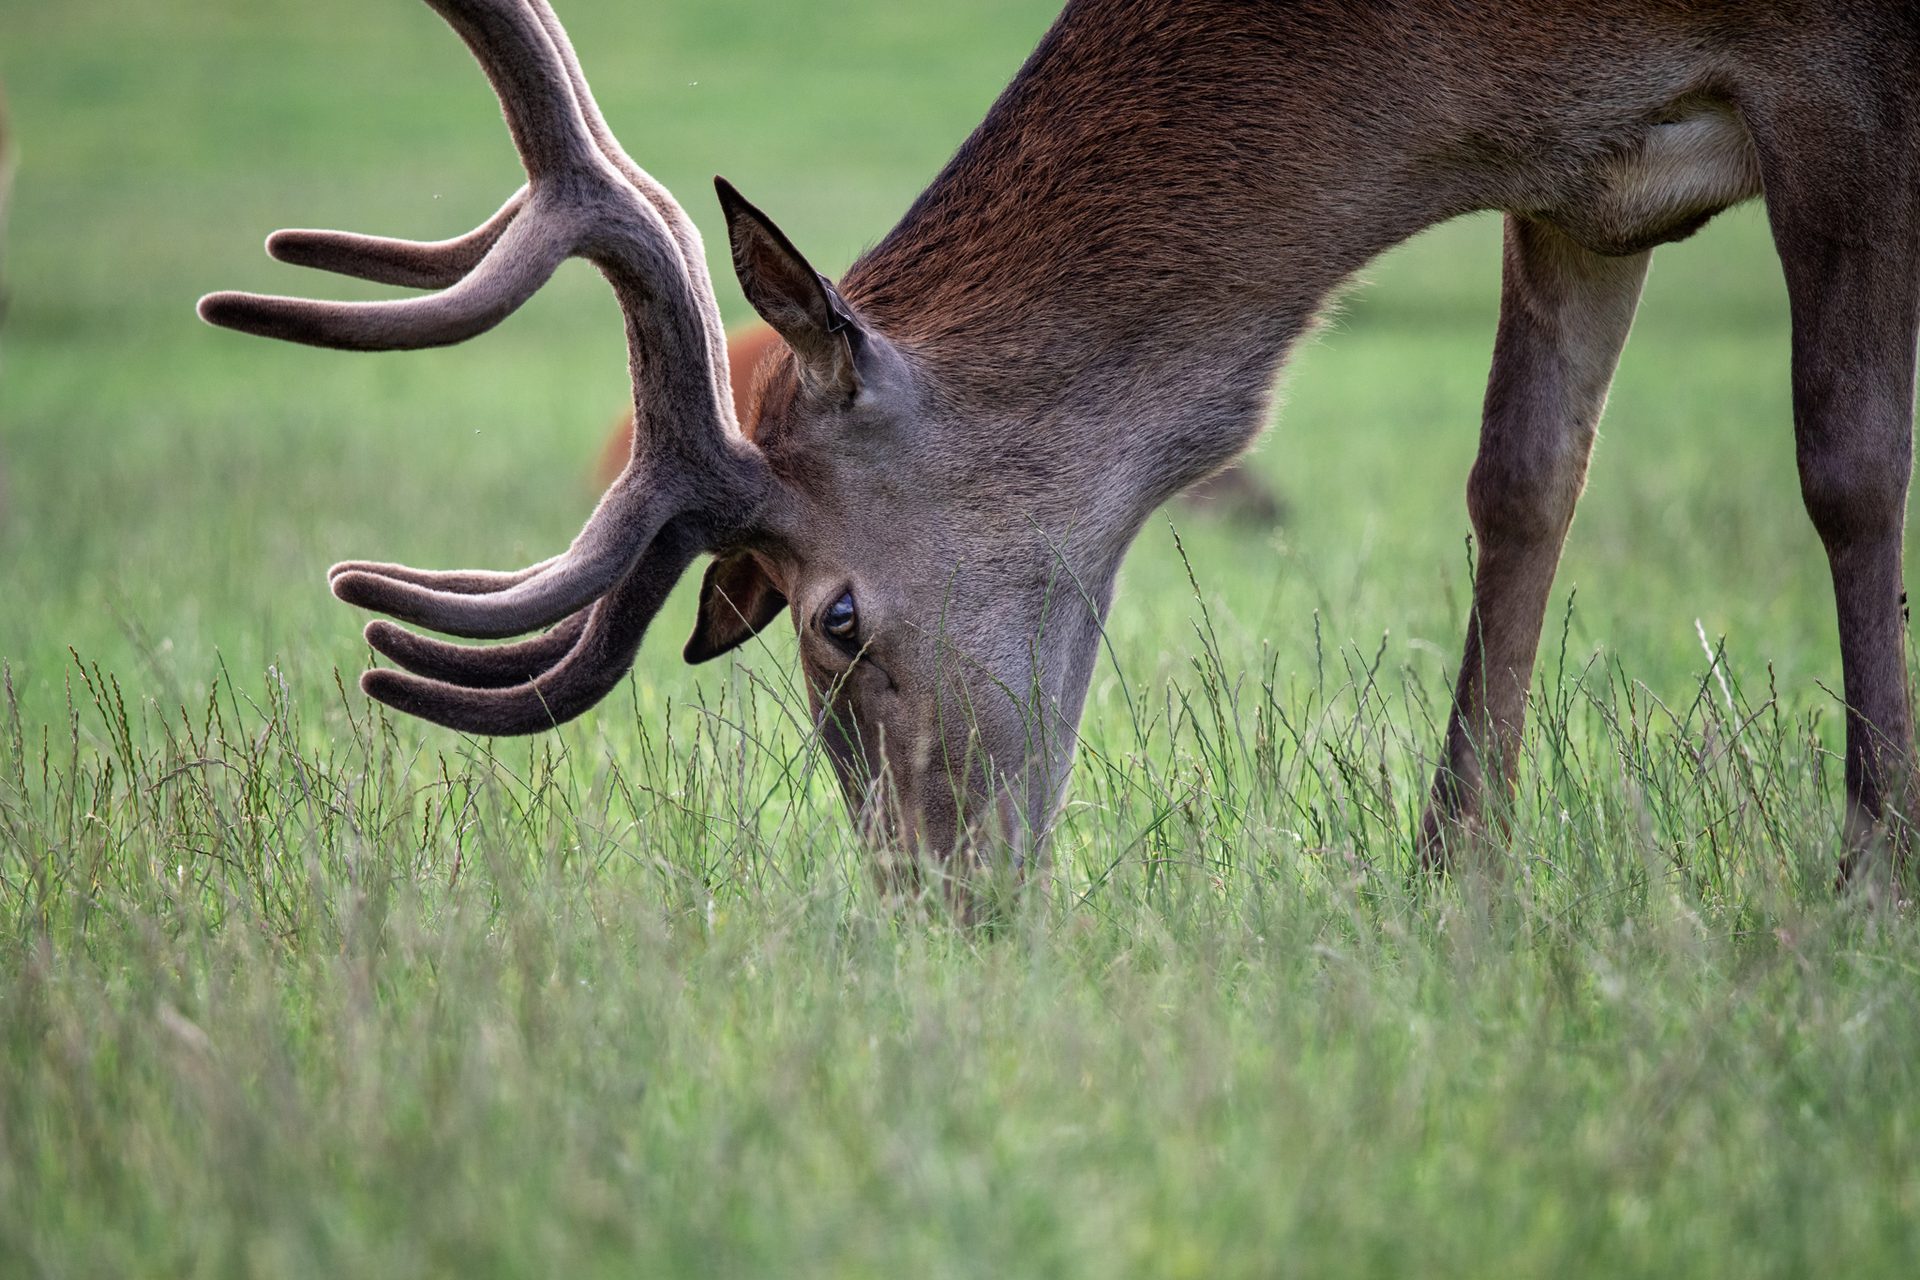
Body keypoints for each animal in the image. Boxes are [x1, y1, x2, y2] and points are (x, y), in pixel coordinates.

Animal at [199, 0, 1920, 886]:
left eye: (837, 616)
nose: (933, 899)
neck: (1511, 62)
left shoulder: (1837, 67)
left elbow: (1848, 459)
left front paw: (1869, 869)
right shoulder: (1587, 186)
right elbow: (1521, 483)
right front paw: (1454, 880)